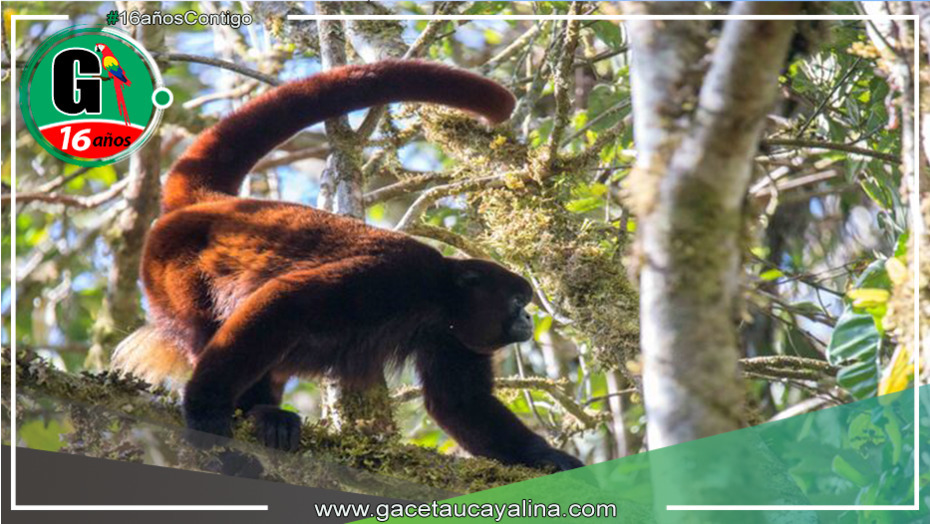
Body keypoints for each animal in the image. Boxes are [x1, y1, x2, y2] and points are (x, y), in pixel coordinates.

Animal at [113, 60, 583, 472]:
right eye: (518, 299)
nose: (527, 317)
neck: (440, 297)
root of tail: (210, 202)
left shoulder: (454, 337)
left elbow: (461, 404)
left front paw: (553, 460)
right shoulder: (395, 276)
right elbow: (288, 302)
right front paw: (205, 408)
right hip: (171, 268)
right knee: (208, 323)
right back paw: (253, 411)